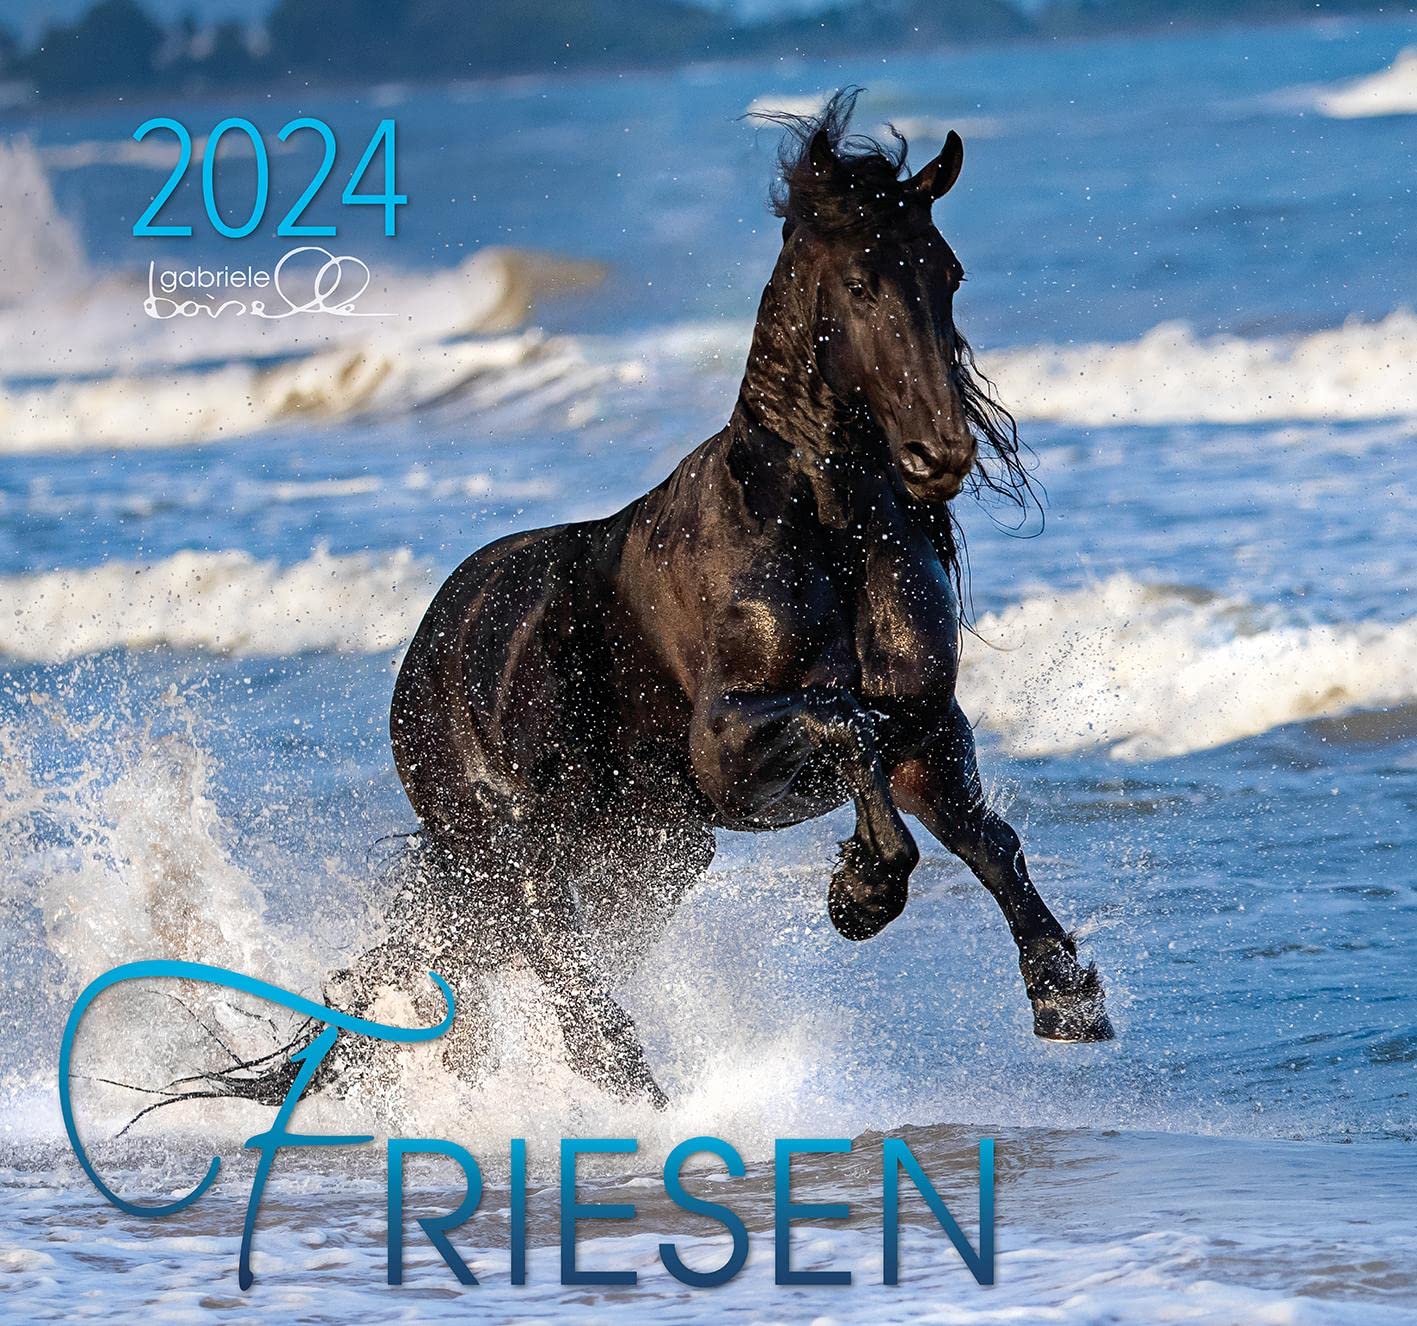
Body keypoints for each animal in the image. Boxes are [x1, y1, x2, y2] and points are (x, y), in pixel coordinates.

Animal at [150, 89, 1112, 1122]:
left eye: (946, 272)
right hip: (514, 845)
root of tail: (434, 638)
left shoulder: (926, 727)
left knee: (500, 958)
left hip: (645, 856)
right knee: (553, 969)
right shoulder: (728, 748)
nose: (940, 457)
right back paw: (626, 1093)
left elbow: (986, 836)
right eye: (858, 285)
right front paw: (861, 893)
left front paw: (1065, 994)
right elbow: (843, 723)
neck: (823, 528)